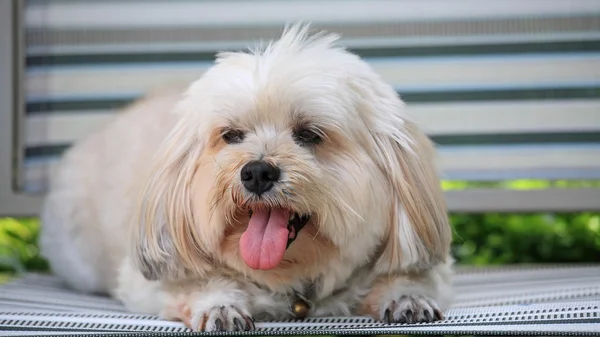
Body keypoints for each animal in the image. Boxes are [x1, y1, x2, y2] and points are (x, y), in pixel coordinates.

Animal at [39, 23, 452, 330]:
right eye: (231, 135)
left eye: (309, 134)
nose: (256, 172)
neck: (293, 283)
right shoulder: (149, 280)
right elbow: (197, 283)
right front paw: (219, 304)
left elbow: (411, 275)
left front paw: (405, 294)